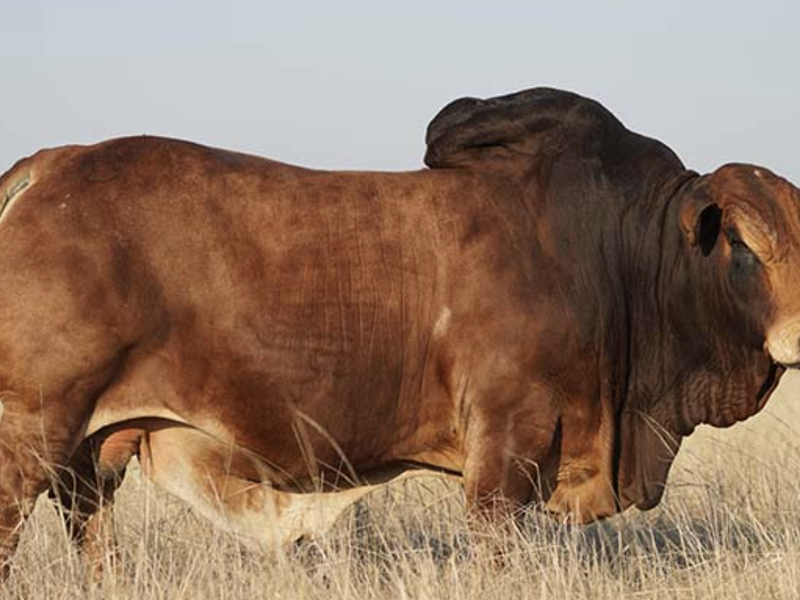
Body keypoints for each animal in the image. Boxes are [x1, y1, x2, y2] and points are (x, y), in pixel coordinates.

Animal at [0, 87, 798, 573]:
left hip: (90, 457)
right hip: (31, 436)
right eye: (742, 247)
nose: (794, 334)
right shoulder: (504, 446)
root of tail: (51, 164)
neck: (615, 254)